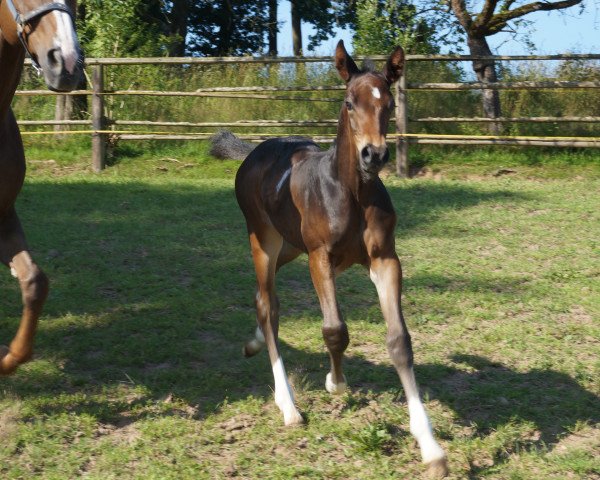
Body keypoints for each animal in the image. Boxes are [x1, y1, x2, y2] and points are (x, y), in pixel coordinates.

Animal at [213, 41, 448, 476]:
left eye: (389, 103)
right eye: (349, 102)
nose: (374, 155)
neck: (351, 191)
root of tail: (257, 149)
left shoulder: (385, 260)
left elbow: (399, 341)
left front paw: (431, 447)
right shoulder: (319, 258)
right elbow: (335, 329)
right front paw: (335, 382)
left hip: (289, 246)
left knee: (260, 298)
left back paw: (254, 344)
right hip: (264, 241)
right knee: (269, 305)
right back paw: (288, 405)